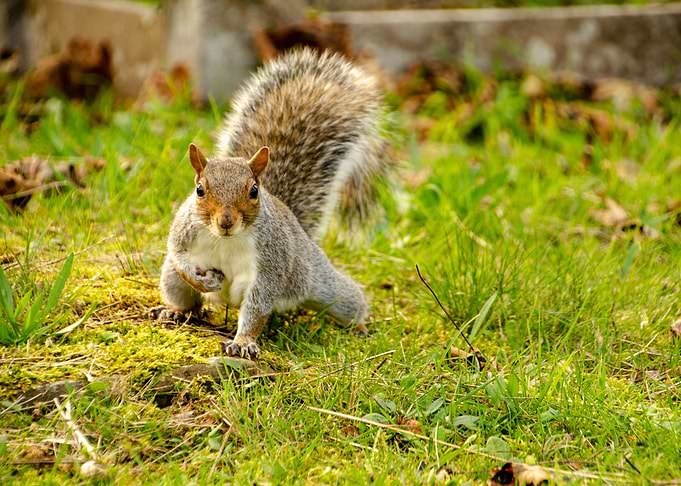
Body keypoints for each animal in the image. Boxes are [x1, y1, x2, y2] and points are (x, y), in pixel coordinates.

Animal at [150, 48, 388, 359]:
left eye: (253, 191)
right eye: (199, 190)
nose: (226, 222)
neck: (226, 239)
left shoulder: (271, 263)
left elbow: (257, 306)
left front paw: (243, 342)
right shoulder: (183, 231)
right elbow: (179, 257)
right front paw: (202, 281)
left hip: (319, 281)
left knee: (348, 300)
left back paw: (359, 325)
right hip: (170, 280)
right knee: (182, 292)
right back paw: (175, 311)